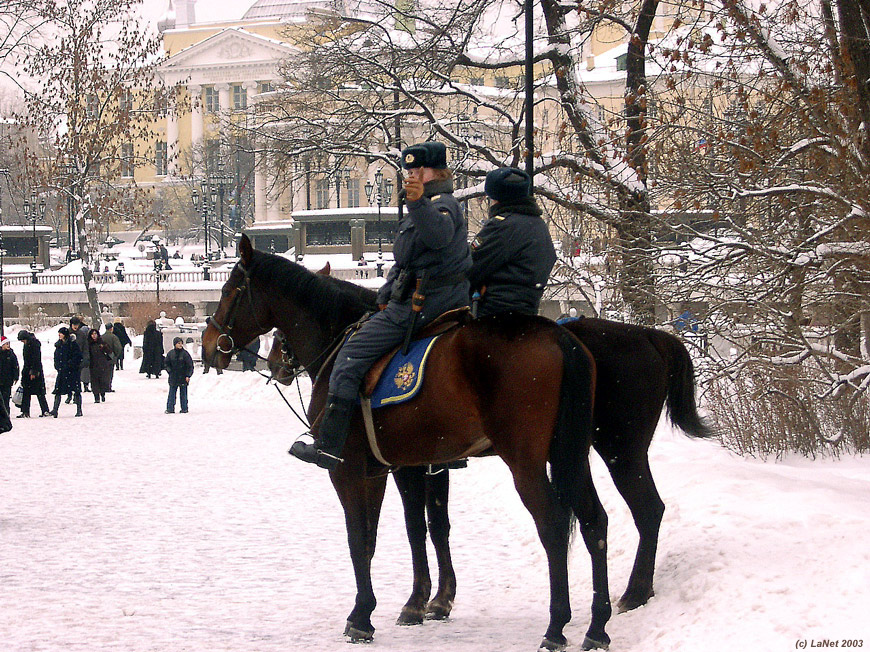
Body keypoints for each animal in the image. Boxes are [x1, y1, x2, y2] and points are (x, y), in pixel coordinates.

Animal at [204, 236, 612, 652]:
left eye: (228, 290)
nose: (208, 346)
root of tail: (559, 335)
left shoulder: (350, 469)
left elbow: (362, 536)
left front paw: (365, 615)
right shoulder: (395, 467)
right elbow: (409, 528)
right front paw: (418, 602)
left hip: (525, 461)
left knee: (553, 524)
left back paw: (557, 625)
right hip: (570, 455)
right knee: (595, 521)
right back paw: (597, 626)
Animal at [268, 262, 716, 620]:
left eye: (278, 331)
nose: (275, 364)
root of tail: (650, 335)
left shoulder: (403, 466)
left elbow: (415, 526)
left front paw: (418, 601)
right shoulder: (432, 463)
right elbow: (437, 524)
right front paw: (438, 598)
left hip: (617, 451)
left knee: (643, 510)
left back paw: (630, 594)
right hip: (606, 453)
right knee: (641, 511)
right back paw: (634, 593)